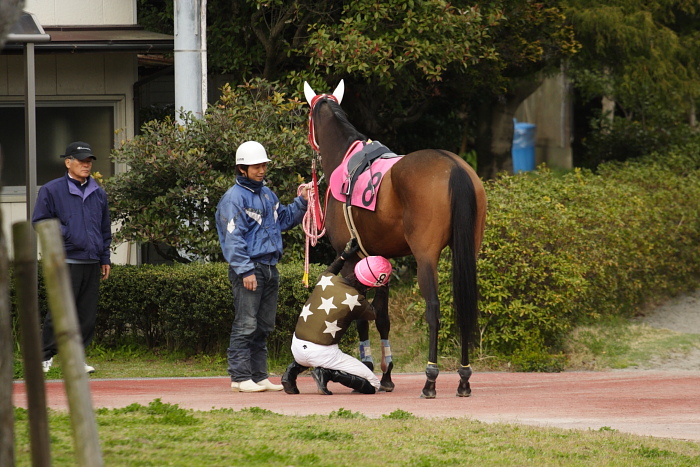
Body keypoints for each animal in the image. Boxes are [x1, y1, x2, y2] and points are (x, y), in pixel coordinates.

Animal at [304, 80, 490, 398]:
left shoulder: (353, 259)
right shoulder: (381, 260)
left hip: (425, 255)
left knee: (433, 309)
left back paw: (430, 380)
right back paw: (464, 378)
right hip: (468, 251)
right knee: (463, 305)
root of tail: (454, 167)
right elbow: (382, 315)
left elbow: (360, 313)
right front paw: (387, 374)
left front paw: (368, 368)